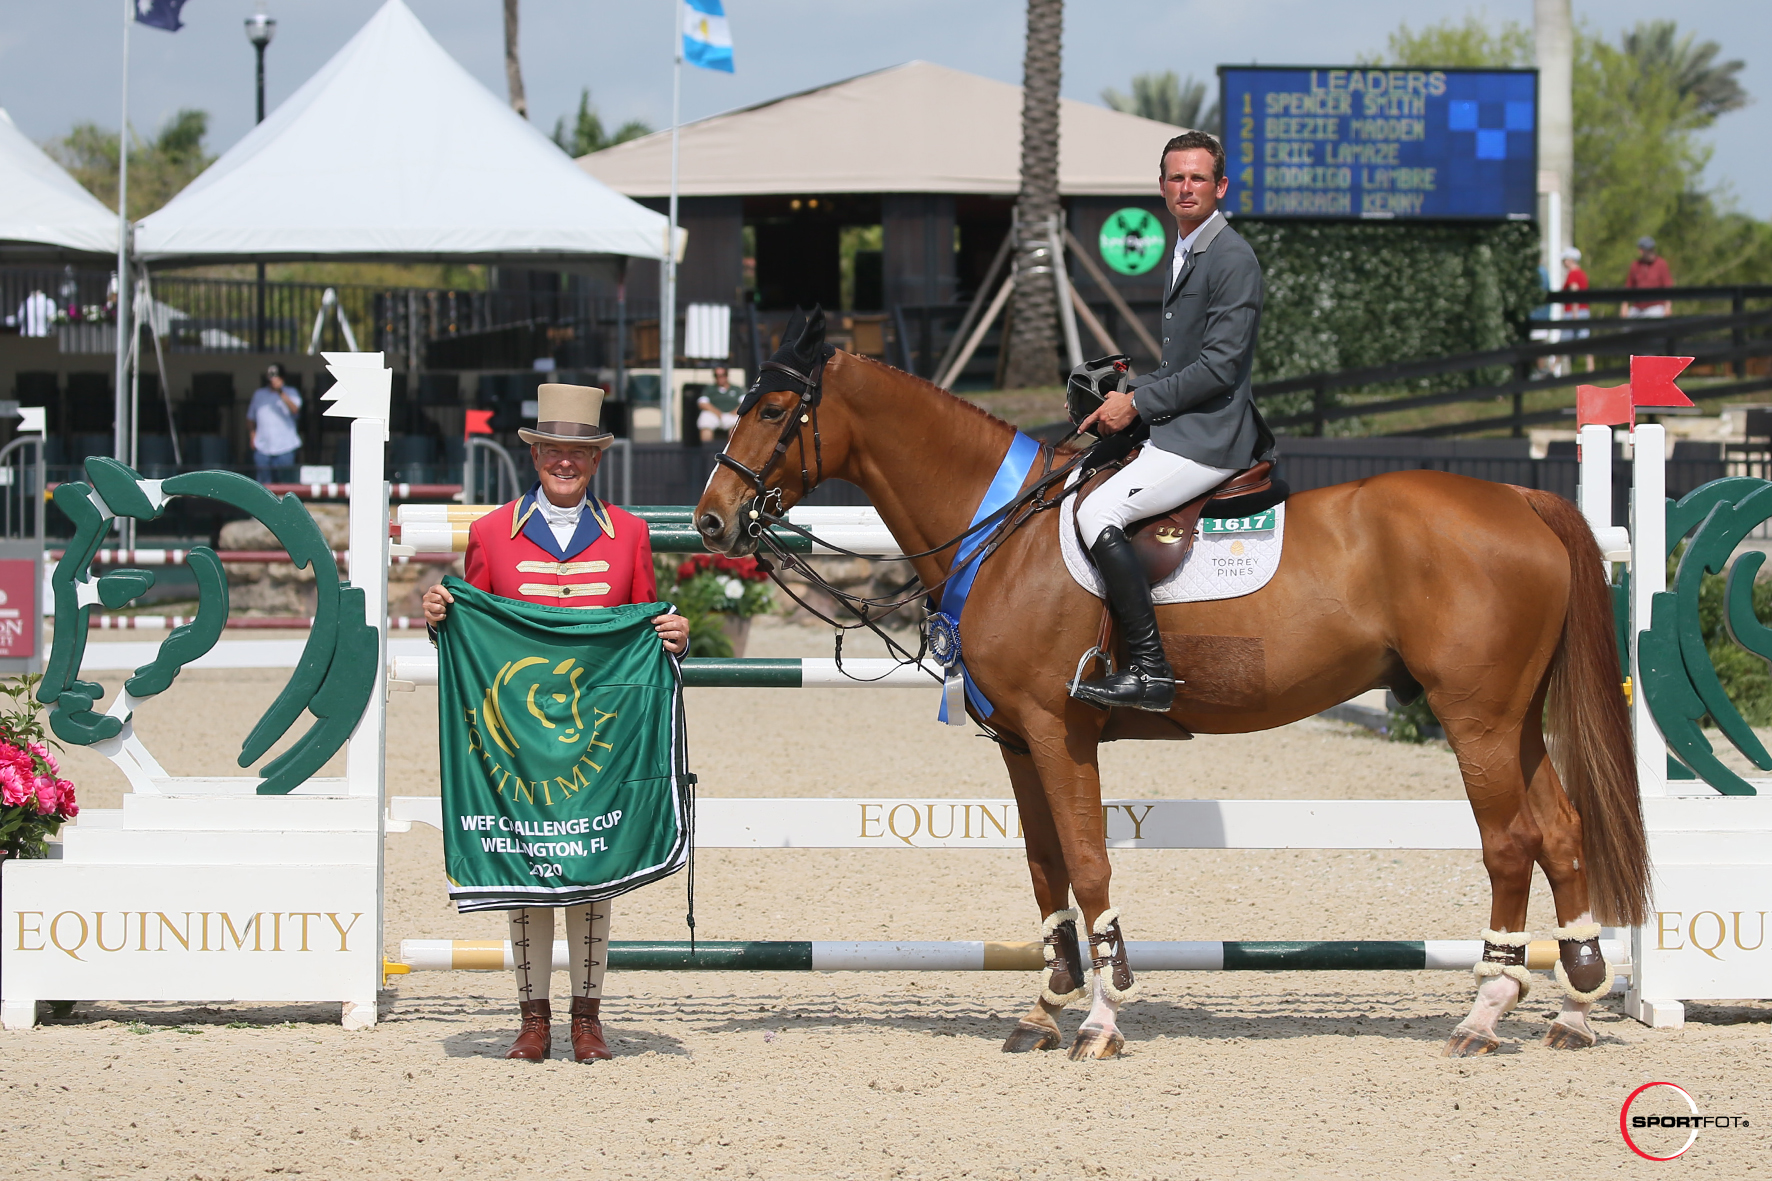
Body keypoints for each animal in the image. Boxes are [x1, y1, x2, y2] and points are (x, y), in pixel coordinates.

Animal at [694, 312, 1644, 1056]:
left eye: (773, 408)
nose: (710, 520)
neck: (1004, 529)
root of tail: (1521, 498)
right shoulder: (1018, 741)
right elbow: (1045, 866)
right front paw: (1047, 1004)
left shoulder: (1060, 730)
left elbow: (1087, 861)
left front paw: (1101, 1017)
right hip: (1515, 718)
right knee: (1561, 832)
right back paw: (1574, 1009)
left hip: (1473, 716)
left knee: (1511, 842)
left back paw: (1486, 1013)